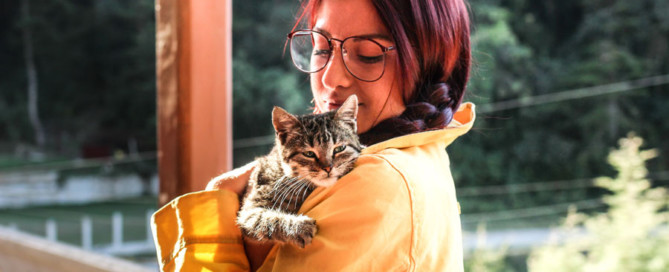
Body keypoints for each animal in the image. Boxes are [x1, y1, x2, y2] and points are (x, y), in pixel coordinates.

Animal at [235, 94, 360, 248]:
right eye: (309, 154)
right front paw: (298, 227)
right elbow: (267, 219)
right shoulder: (249, 211)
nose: (328, 168)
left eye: (339, 149)